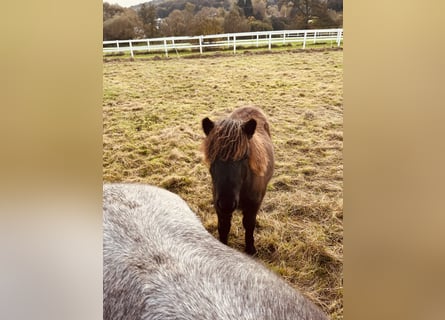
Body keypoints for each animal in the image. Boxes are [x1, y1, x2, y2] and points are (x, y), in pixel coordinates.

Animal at [202, 106, 272, 254]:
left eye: (244, 157)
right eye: (212, 156)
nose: (227, 203)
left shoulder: (254, 205)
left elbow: (249, 225)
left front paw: (250, 249)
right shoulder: (219, 206)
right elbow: (224, 227)